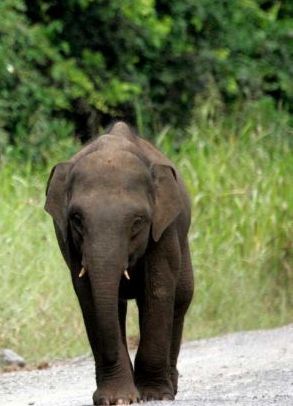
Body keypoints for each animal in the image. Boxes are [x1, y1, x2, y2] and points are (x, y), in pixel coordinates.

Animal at [44, 122, 194, 404]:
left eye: (137, 221)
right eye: (77, 219)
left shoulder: (164, 229)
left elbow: (158, 291)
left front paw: (154, 395)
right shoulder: (68, 241)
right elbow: (89, 296)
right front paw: (117, 399)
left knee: (181, 298)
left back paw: (171, 387)